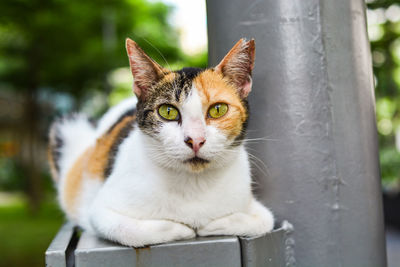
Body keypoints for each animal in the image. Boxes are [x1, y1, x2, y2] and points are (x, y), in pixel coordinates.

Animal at [46, 37, 272, 247]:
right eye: (167, 111)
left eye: (218, 109)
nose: (195, 140)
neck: (194, 184)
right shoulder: (100, 212)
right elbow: (130, 231)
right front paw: (183, 229)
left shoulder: (257, 209)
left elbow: (263, 222)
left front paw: (212, 225)